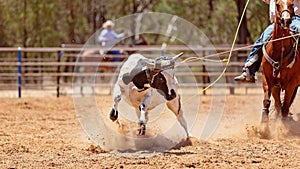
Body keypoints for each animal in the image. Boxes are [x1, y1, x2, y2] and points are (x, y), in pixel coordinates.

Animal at [260, 0, 298, 129]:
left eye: (292, 4)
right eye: (277, 4)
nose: (285, 20)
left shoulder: (292, 83)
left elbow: (285, 107)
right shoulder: (268, 79)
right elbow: (269, 102)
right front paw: (264, 128)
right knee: (278, 105)